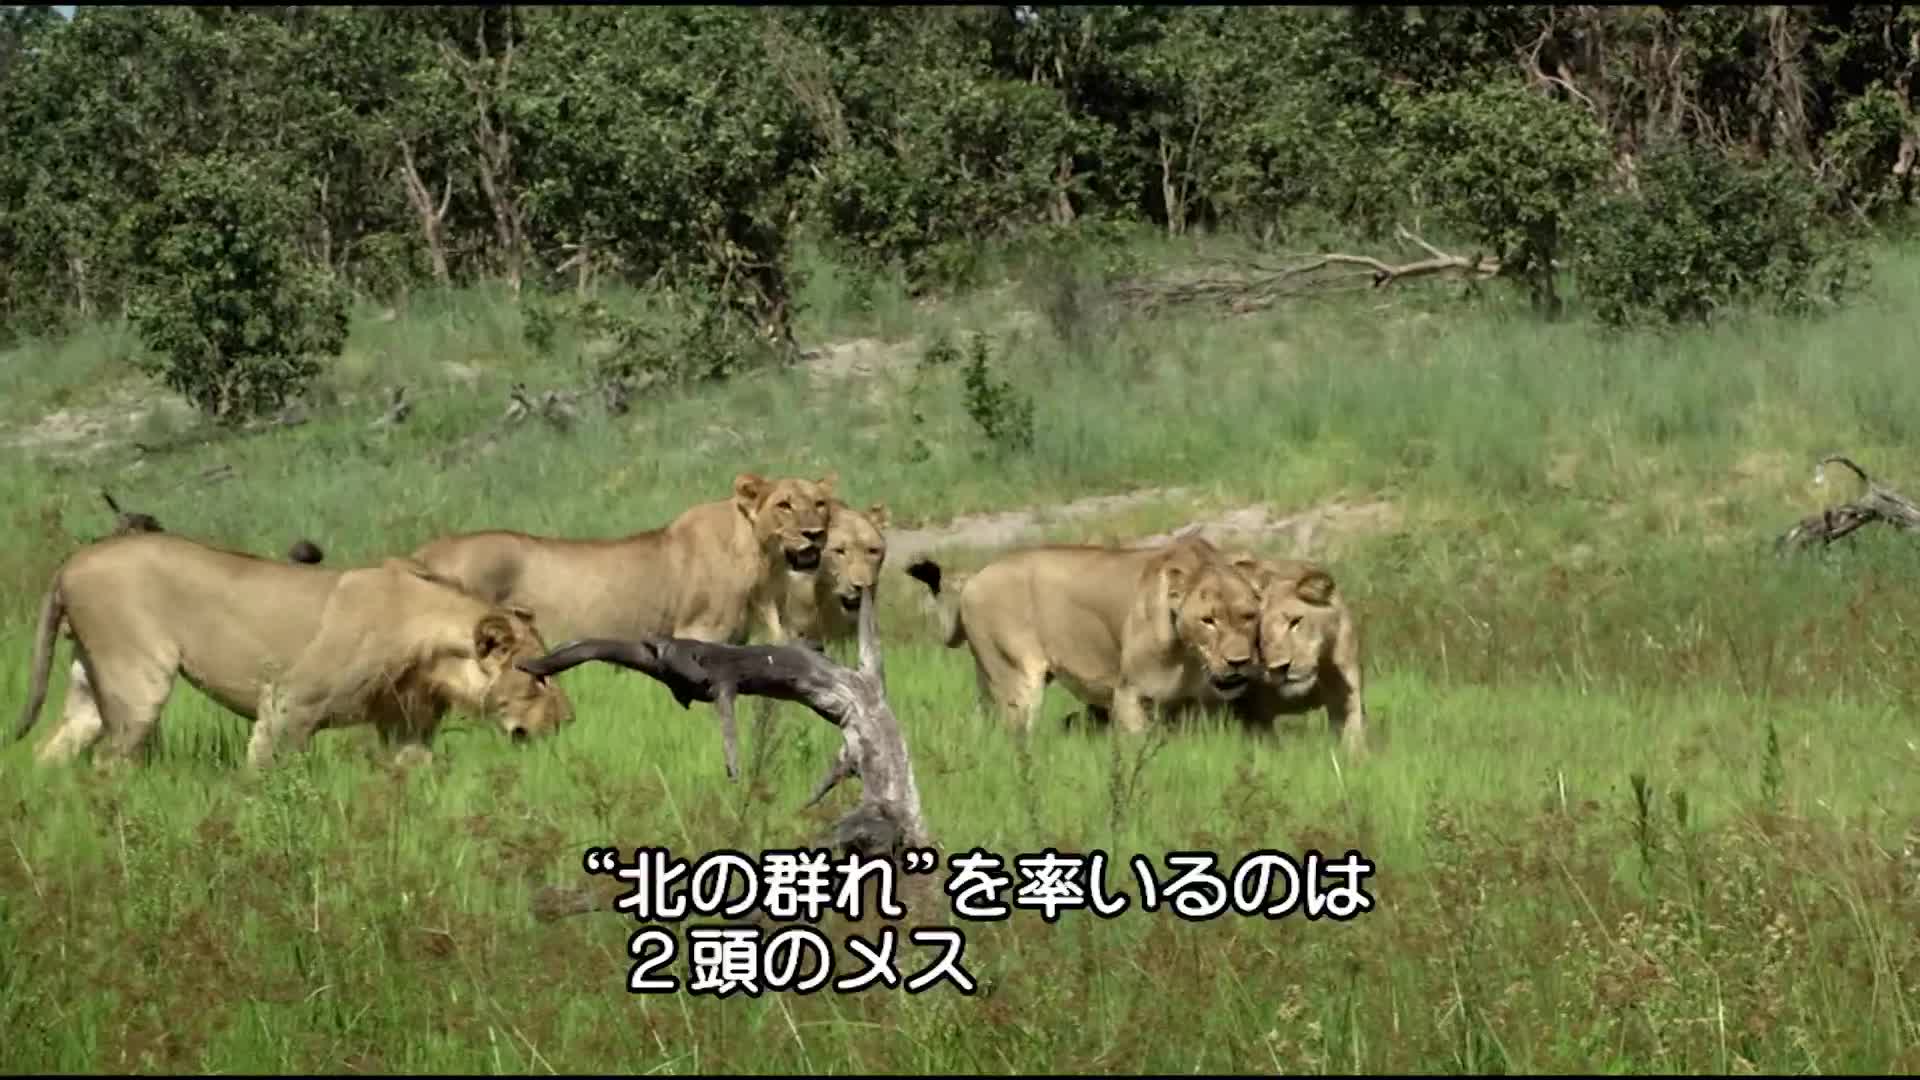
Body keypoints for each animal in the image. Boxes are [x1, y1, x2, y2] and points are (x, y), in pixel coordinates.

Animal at [16, 526, 568, 764]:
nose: (568, 722)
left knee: (57, 749)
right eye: (538, 678)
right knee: (110, 762)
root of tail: (70, 563)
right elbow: (264, 776)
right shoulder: (288, 706)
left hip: (91, 684)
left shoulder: (407, 728)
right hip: (137, 683)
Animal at [408, 470, 837, 645]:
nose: (815, 533)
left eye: (820, 504)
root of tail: (421, 552)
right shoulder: (698, 633)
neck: (766, 566)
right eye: (784, 505)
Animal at [898, 530, 1259, 730]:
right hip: (1016, 680)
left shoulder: (1202, 705)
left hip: (989, 678)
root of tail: (974, 579)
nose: (1238, 662)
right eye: (1208, 620)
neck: (1189, 657)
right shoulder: (1128, 694)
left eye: (1249, 616)